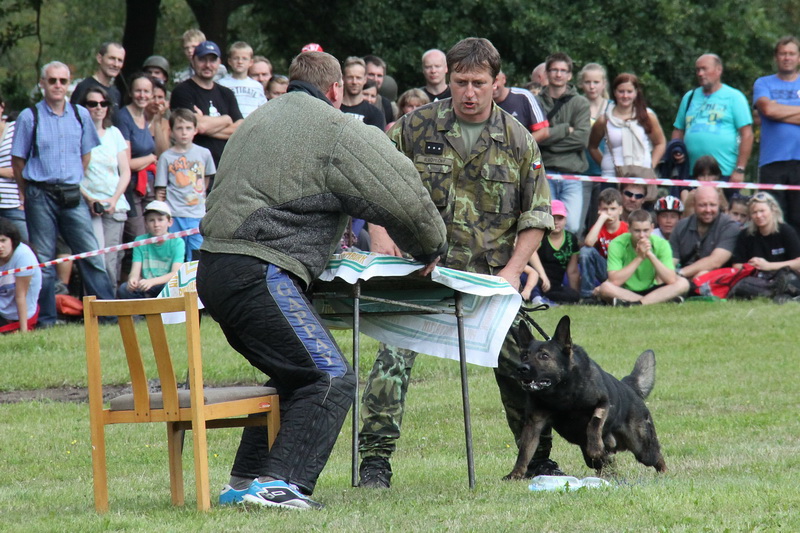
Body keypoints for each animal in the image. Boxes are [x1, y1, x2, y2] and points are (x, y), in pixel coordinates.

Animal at [506, 316, 668, 478]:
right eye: (524, 356)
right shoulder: (533, 424)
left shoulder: (603, 403)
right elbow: (525, 452)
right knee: (607, 464)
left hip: (643, 450)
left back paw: (664, 474)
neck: (561, 391)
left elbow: (594, 422)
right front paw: (515, 474)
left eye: (544, 356)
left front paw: (595, 446)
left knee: (657, 457)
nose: (521, 368)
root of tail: (628, 386)